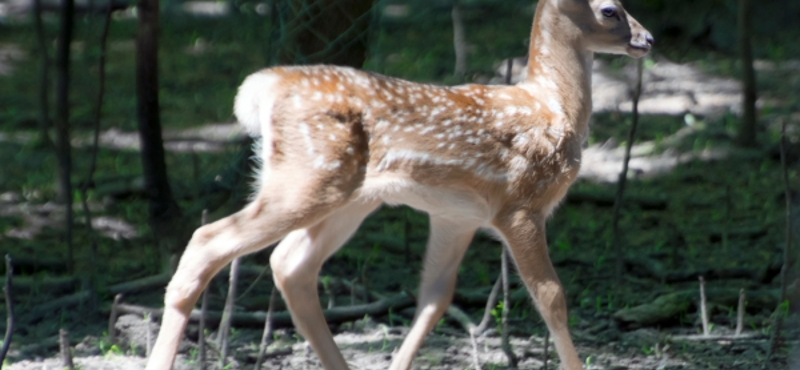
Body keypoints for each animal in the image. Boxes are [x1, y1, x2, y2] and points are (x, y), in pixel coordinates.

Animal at [147, 0, 652, 370]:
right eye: (610, 9)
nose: (647, 38)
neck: (552, 108)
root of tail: (261, 87)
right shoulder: (520, 204)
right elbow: (552, 298)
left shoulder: (456, 215)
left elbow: (435, 296)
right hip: (308, 179)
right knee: (208, 240)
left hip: (348, 197)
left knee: (290, 264)